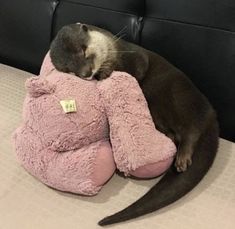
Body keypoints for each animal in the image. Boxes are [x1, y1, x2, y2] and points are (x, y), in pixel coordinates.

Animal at [49, 23, 218, 225]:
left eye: (83, 50)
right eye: (68, 69)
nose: (86, 73)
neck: (115, 52)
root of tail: (211, 114)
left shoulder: (135, 55)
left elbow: (137, 68)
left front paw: (107, 73)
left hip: (178, 96)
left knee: (192, 130)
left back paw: (183, 158)